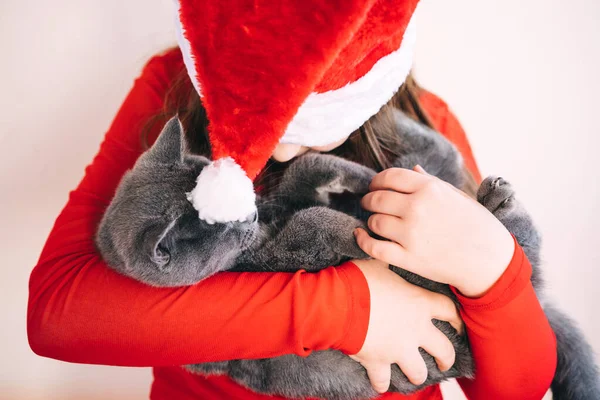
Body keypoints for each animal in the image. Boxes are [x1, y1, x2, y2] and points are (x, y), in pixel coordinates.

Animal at [96, 111, 596, 400]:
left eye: (241, 202)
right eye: (225, 225)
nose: (252, 213)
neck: (268, 226)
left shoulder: (287, 196)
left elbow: (306, 166)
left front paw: (362, 178)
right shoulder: (288, 248)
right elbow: (318, 221)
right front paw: (364, 233)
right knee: (518, 250)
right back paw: (495, 203)